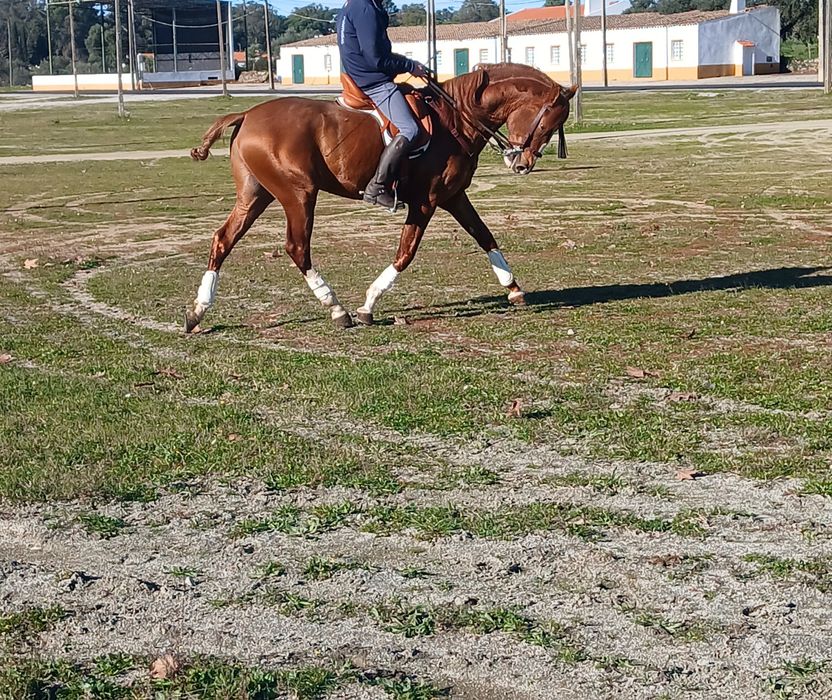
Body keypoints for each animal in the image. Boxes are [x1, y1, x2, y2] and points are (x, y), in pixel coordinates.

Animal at [185, 63, 577, 331]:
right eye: (547, 124)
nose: (522, 163)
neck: (456, 119)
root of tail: (247, 114)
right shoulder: (426, 201)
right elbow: (405, 253)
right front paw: (368, 305)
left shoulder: (454, 197)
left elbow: (486, 237)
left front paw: (514, 289)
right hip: (298, 194)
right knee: (297, 247)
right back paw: (337, 308)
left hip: (257, 195)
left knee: (223, 240)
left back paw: (197, 311)